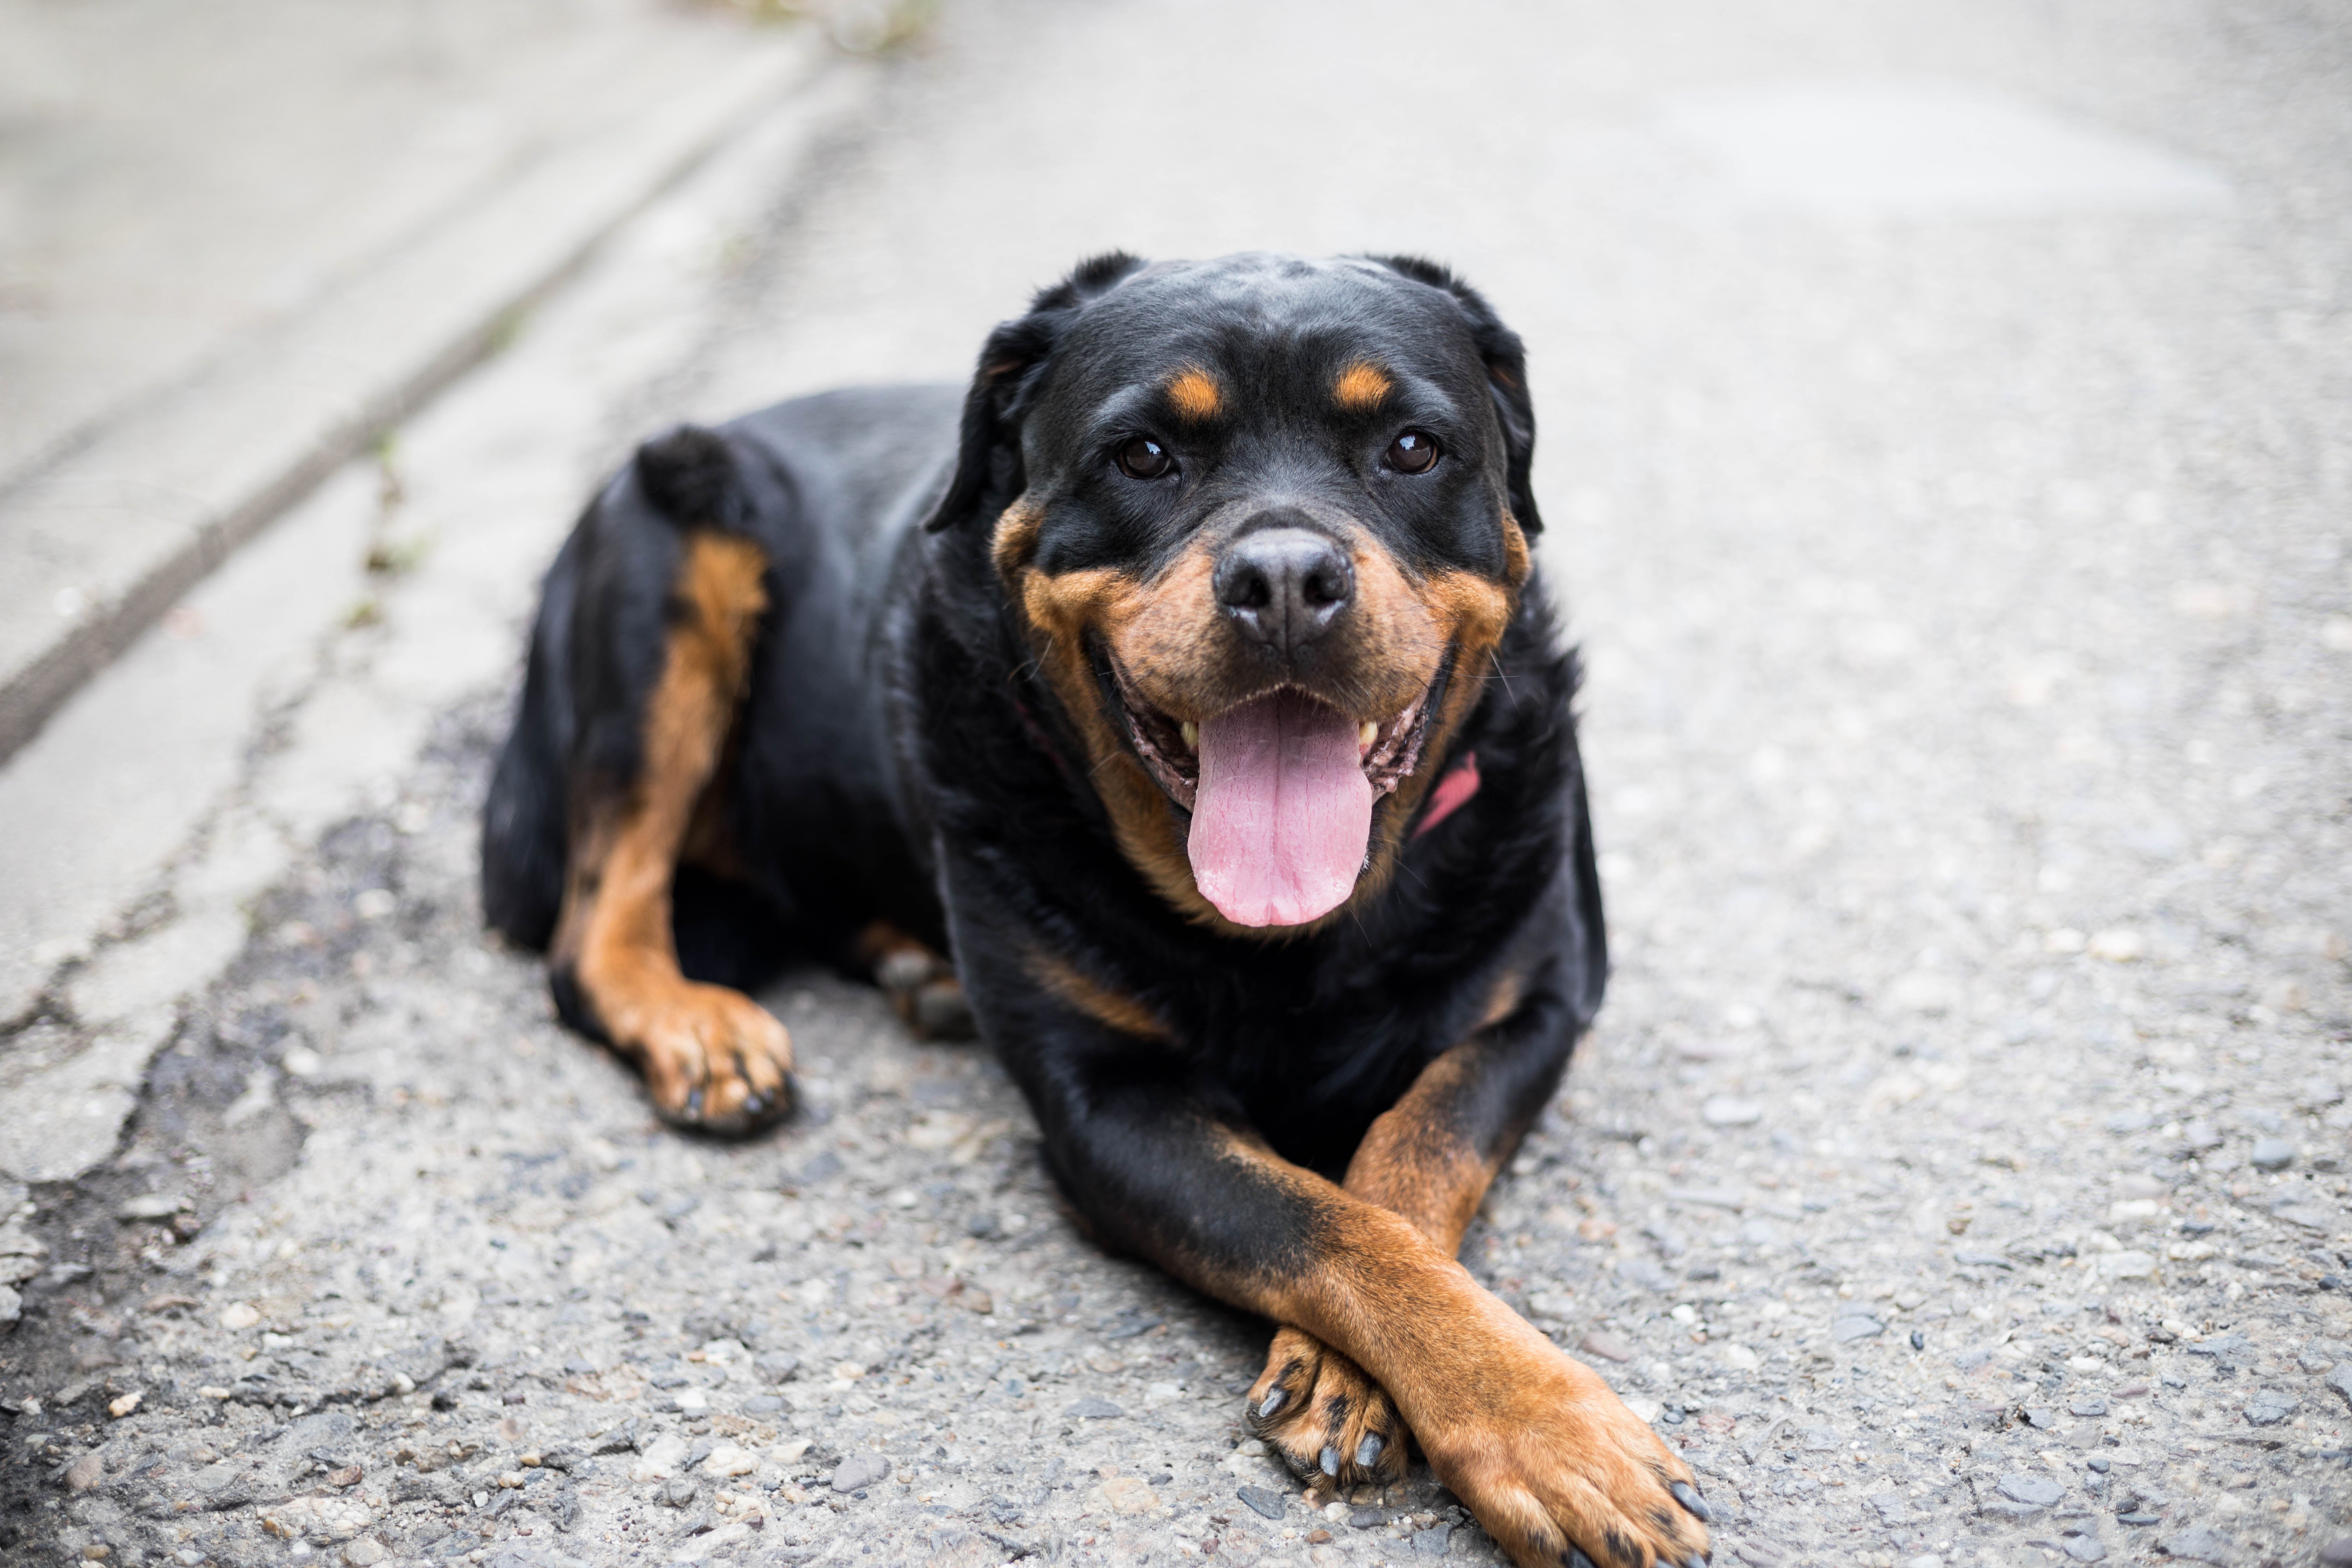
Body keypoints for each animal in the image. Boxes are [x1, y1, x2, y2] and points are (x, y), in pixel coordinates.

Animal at [487, 251, 1722, 1561]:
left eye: (1410, 447)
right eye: (1142, 455)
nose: (1286, 579)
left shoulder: (1533, 1007)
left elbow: (1407, 1158)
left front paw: (1398, 1385)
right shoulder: (1105, 1104)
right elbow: (1324, 1223)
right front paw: (1549, 1430)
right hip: (669, 554)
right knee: (595, 923)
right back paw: (703, 1027)